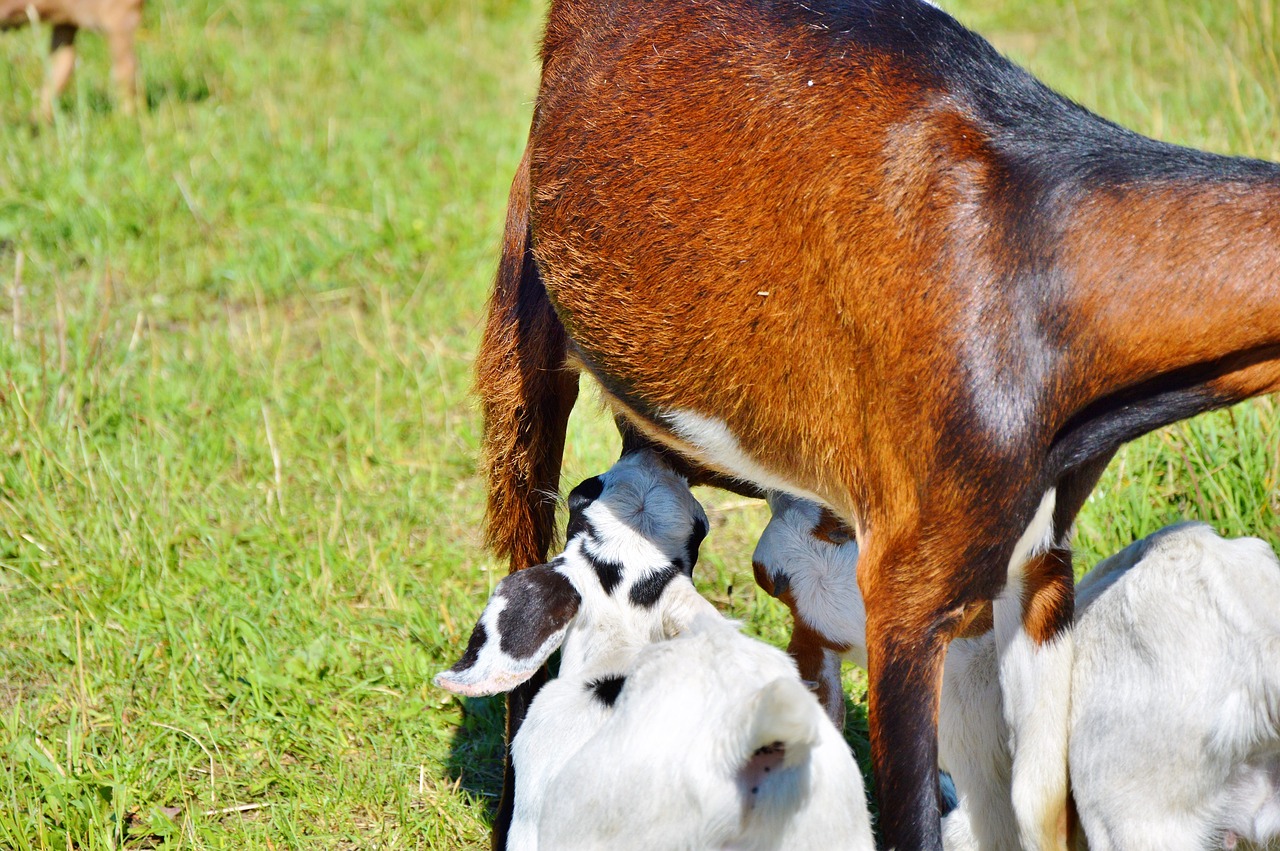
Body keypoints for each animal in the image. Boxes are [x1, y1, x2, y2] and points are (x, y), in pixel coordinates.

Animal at [476, 3, 1280, 844]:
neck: (1028, 259)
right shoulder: (906, 587)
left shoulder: (1037, 558)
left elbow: (1039, 804)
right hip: (523, 323)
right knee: (528, 545)